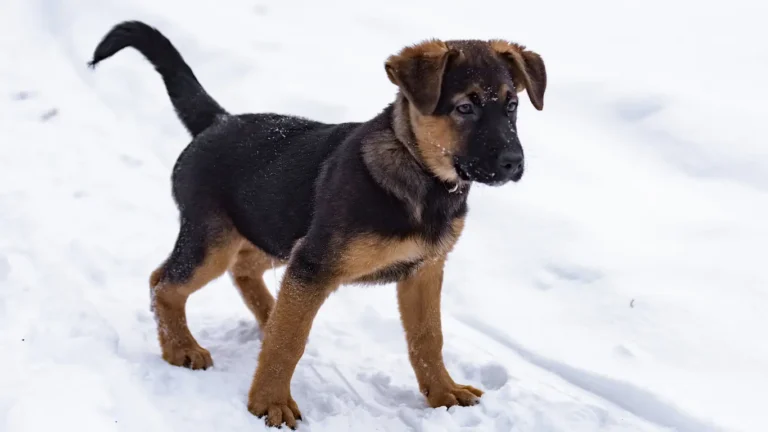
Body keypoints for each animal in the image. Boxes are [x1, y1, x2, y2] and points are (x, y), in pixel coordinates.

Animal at [88, 21, 544, 428]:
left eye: (512, 105)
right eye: (464, 108)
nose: (513, 163)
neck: (421, 174)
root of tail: (218, 121)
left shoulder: (423, 270)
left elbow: (428, 338)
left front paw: (444, 393)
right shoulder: (314, 262)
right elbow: (289, 343)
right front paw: (269, 404)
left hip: (274, 232)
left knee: (244, 270)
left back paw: (267, 316)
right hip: (216, 240)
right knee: (164, 283)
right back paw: (181, 348)